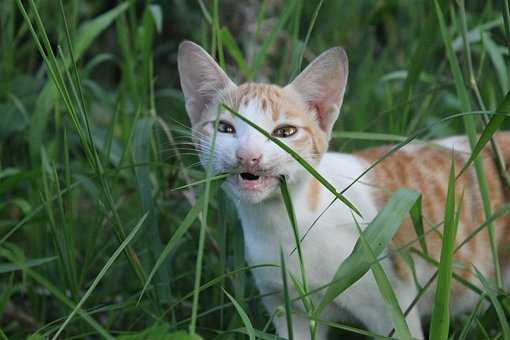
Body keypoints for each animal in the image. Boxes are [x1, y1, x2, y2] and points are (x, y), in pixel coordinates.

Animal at [178, 41, 510, 338]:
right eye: (225, 128)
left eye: (285, 132)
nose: (248, 156)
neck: (284, 225)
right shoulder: (287, 308)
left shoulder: (391, 310)